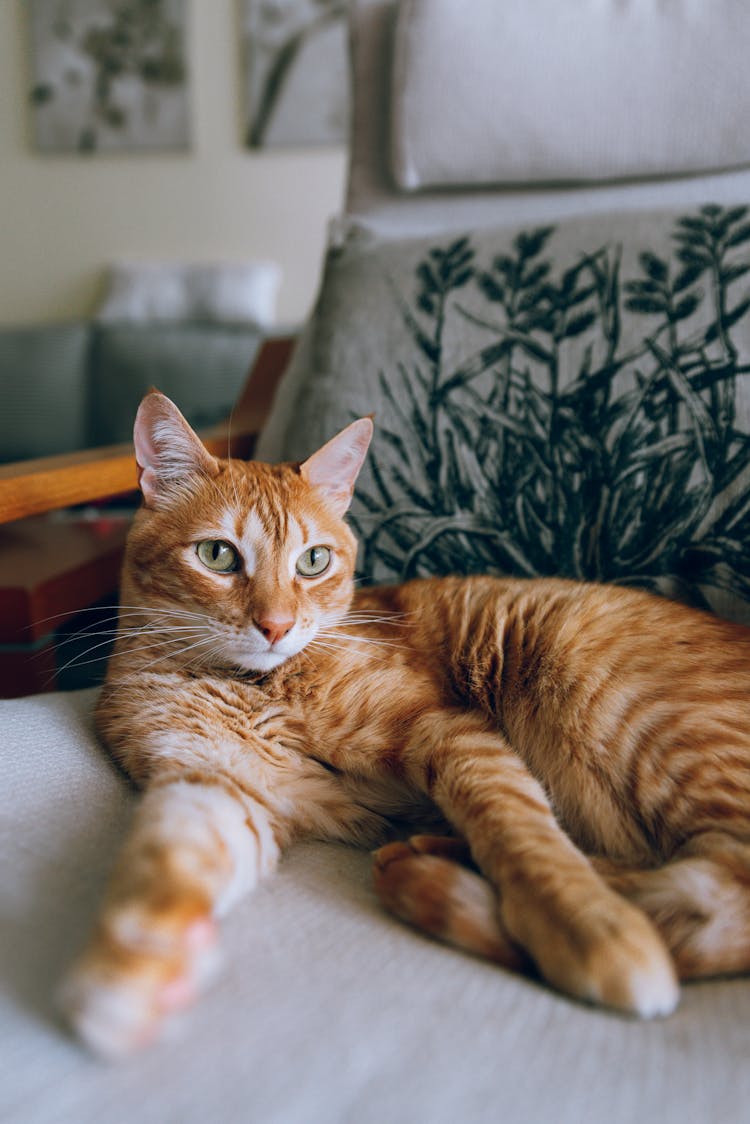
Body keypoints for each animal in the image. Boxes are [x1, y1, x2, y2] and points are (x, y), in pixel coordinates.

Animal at [61, 391, 750, 1056]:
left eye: (313, 562)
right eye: (217, 555)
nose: (276, 626)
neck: (257, 689)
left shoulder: (445, 732)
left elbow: (526, 839)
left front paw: (588, 929)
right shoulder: (214, 782)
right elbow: (165, 863)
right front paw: (126, 972)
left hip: (629, 707)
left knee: (717, 890)